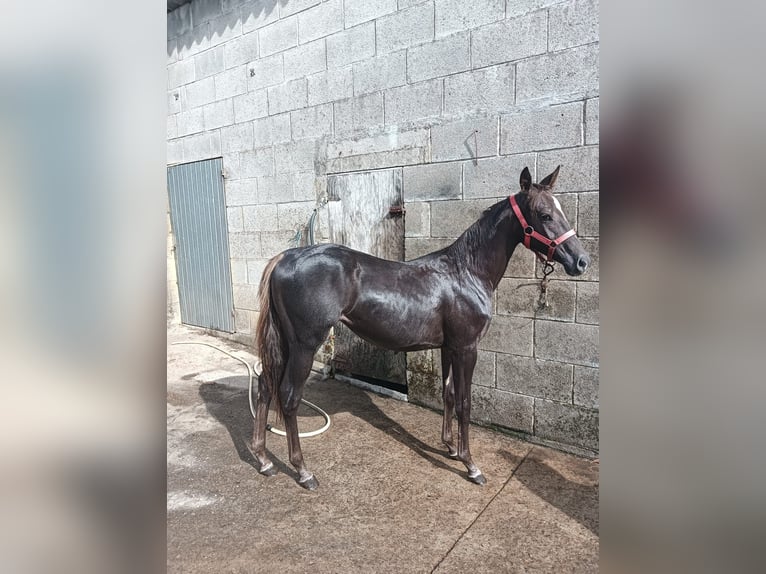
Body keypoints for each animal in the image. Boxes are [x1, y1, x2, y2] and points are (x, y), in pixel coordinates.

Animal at [252, 165, 588, 490]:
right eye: (544, 214)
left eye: (561, 210)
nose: (581, 261)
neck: (467, 272)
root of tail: (284, 258)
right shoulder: (467, 348)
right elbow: (465, 403)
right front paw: (471, 465)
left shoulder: (448, 347)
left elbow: (448, 394)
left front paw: (450, 448)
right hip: (305, 345)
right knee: (289, 397)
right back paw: (303, 472)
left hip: (285, 344)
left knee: (265, 386)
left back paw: (264, 460)